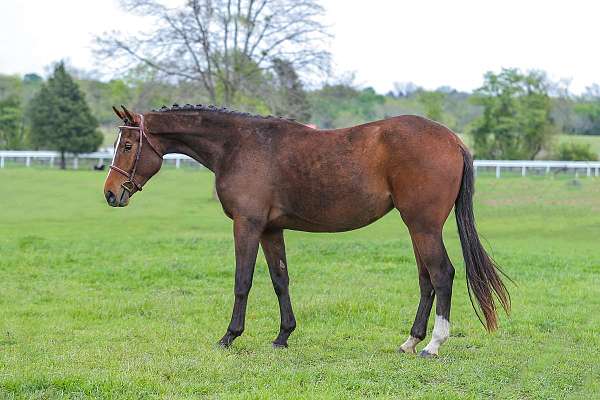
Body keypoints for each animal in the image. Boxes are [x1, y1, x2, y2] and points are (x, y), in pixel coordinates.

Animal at [105, 104, 508, 358]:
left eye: (128, 145)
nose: (110, 194)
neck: (239, 145)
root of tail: (452, 139)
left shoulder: (247, 225)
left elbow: (242, 281)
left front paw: (229, 337)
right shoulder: (270, 230)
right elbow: (279, 280)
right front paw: (283, 336)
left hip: (424, 227)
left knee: (442, 274)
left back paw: (432, 345)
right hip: (416, 229)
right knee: (426, 279)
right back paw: (410, 341)